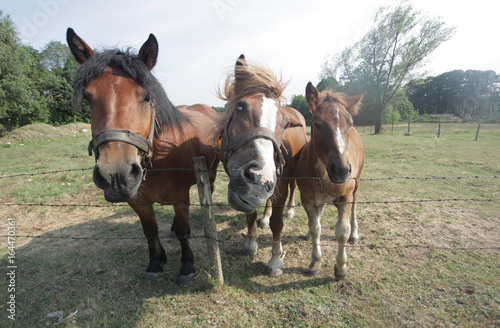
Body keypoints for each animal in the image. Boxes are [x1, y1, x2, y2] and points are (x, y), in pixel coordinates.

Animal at [67, 28, 219, 284]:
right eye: (88, 97)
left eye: (146, 96)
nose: (116, 174)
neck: (157, 160)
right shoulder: (137, 200)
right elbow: (150, 231)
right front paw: (156, 262)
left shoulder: (180, 196)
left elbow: (184, 232)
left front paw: (187, 266)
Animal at [216, 55, 308, 276]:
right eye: (240, 107)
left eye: (285, 124)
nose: (260, 177)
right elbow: (251, 213)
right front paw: (251, 243)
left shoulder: (281, 184)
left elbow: (278, 223)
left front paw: (275, 259)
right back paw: (265, 217)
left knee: (293, 189)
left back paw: (290, 211)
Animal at [294, 82, 366, 280]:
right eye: (317, 124)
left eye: (350, 123)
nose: (341, 170)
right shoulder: (308, 199)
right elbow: (315, 228)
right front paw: (315, 263)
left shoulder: (345, 199)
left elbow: (342, 232)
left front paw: (341, 268)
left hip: (357, 184)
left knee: (356, 205)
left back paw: (355, 234)